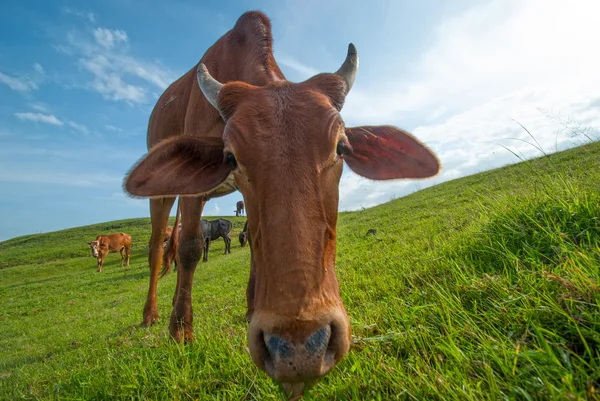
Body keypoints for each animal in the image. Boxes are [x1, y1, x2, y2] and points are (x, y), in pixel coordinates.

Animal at [123, 10, 440, 396]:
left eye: (341, 147)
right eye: (231, 157)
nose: (301, 348)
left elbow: (254, 246)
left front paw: (250, 308)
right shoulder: (193, 193)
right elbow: (190, 247)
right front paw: (180, 330)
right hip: (163, 195)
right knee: (159, 248)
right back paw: (151, 314)